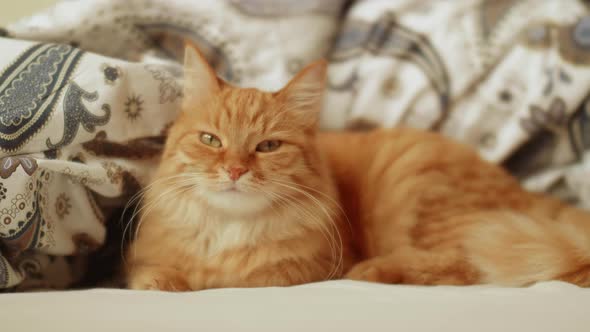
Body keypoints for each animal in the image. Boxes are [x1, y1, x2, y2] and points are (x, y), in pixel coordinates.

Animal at [127, 44, 590, 290]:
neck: (230, 232)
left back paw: (374, 271)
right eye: (211, 141)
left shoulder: (305, 270)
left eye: (268, 146)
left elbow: (255, 279)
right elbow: (151, 274)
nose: (236, 171)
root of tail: (522, 190)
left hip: (417, 192)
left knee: (468, 263)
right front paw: (173, 282)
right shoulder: (140, 261)